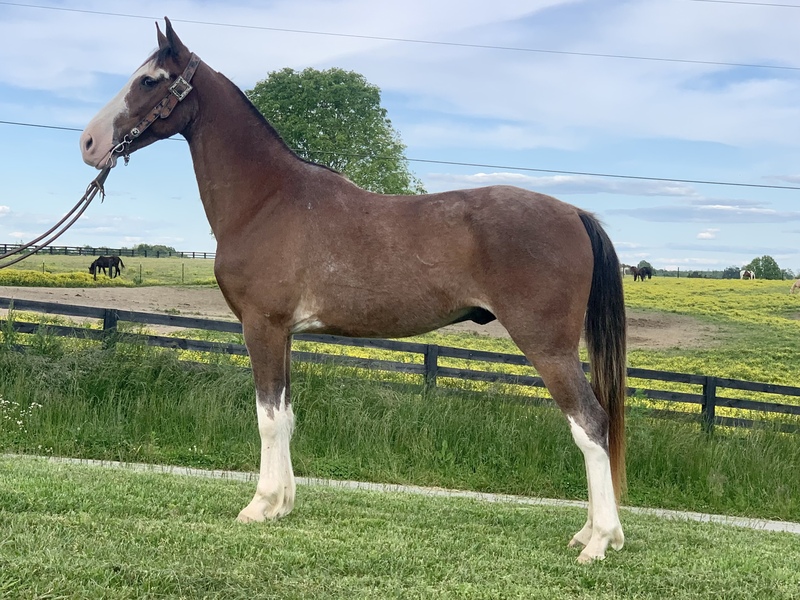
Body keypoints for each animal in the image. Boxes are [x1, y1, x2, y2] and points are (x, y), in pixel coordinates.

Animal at [79, 18, 627, 563]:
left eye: (149, 80)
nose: (88, 142)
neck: (267, 199)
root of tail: (576, 213)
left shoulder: (262, 327)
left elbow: (267, 418)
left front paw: (259, 506)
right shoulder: (285, 334)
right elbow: (287, 415)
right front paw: (282, 505)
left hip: (547, 347)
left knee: (590, 424)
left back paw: (597, 541)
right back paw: (593, 533)